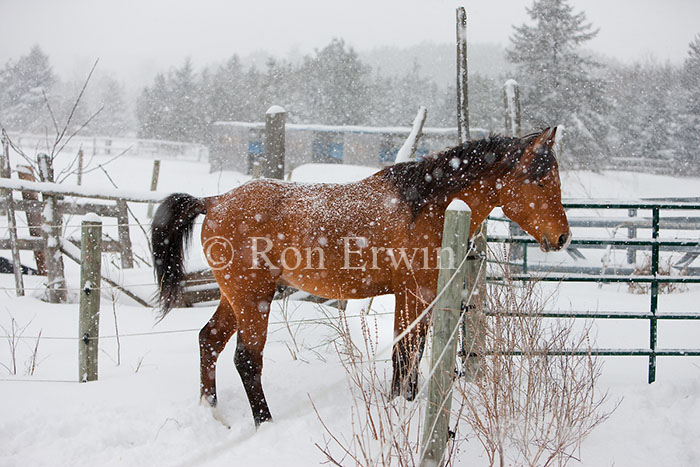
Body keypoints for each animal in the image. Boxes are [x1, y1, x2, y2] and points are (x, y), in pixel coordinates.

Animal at [152, 127, 568, 428]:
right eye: (541, 180)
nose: (563, 237)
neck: (427, 205)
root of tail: (214, 201)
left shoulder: (414, 297)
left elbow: (408, 355)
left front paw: (401, 403)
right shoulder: (415, 293)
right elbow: (405, 355)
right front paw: (401, 407)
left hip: (235, 297)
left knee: (209, 341)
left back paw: (212, 412)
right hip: (254, 298)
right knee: (246, 359)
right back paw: (264, 422)